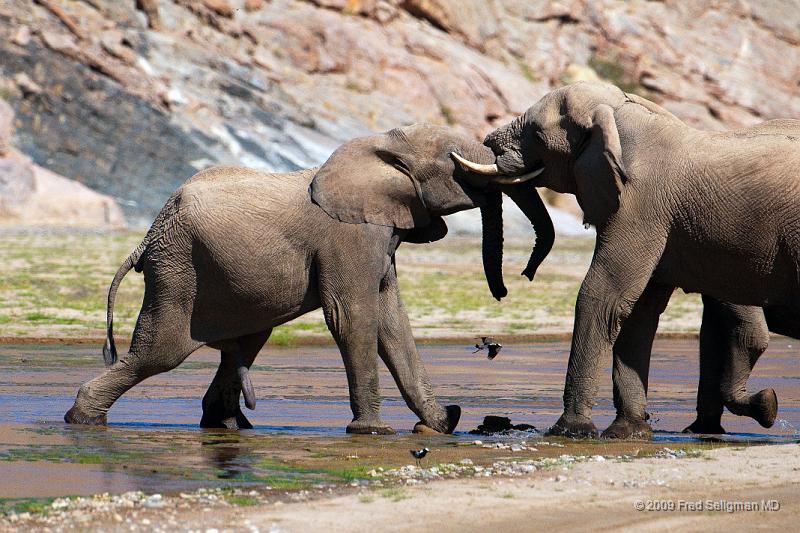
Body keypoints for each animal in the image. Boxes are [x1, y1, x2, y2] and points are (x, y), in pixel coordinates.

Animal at [64, 125, 556, 436]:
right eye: (457, 161)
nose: (509, 288)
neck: (380, 146)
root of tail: (148, 235)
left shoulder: (379, 233)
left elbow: (393, 320)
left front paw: (438, 425)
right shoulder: (348, 235)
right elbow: (353, 317)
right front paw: (373, 432)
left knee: (245, 344)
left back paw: (228, 425)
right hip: (178, 271)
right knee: (159, 353)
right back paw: (82, 420)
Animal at [454, 79, 800, 436]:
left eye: (536, 133)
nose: (523, 276)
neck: (624, 118)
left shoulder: (641, 207)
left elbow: (602, 296)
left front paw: (569, 431)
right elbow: (638, 311)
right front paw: (628, 432)